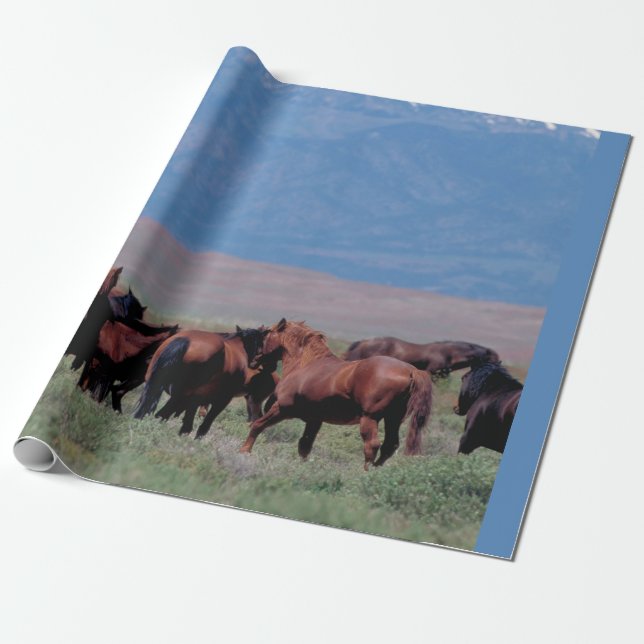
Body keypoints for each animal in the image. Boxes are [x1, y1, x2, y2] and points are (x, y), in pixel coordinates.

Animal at [133, 326, 271, 439]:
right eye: (261, 345)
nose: (257, 366)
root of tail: (184, 340)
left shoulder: (195, 399)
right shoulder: (222, 400)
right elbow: (204, 424)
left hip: (157, 387)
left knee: (147, 412)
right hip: (181, 396)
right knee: (162, 414)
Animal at [241, 319, 433, 470]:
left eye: (267, 334)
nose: (253, 361)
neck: (304, 365)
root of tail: (411, 370)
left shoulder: (282, 409)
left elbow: (257, 425)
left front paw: (244, 451)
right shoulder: (314, 420)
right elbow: (304, 446)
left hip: (370, 418)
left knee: (372, 445)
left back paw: (364, 475)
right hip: (393, 419)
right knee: (389, 446)